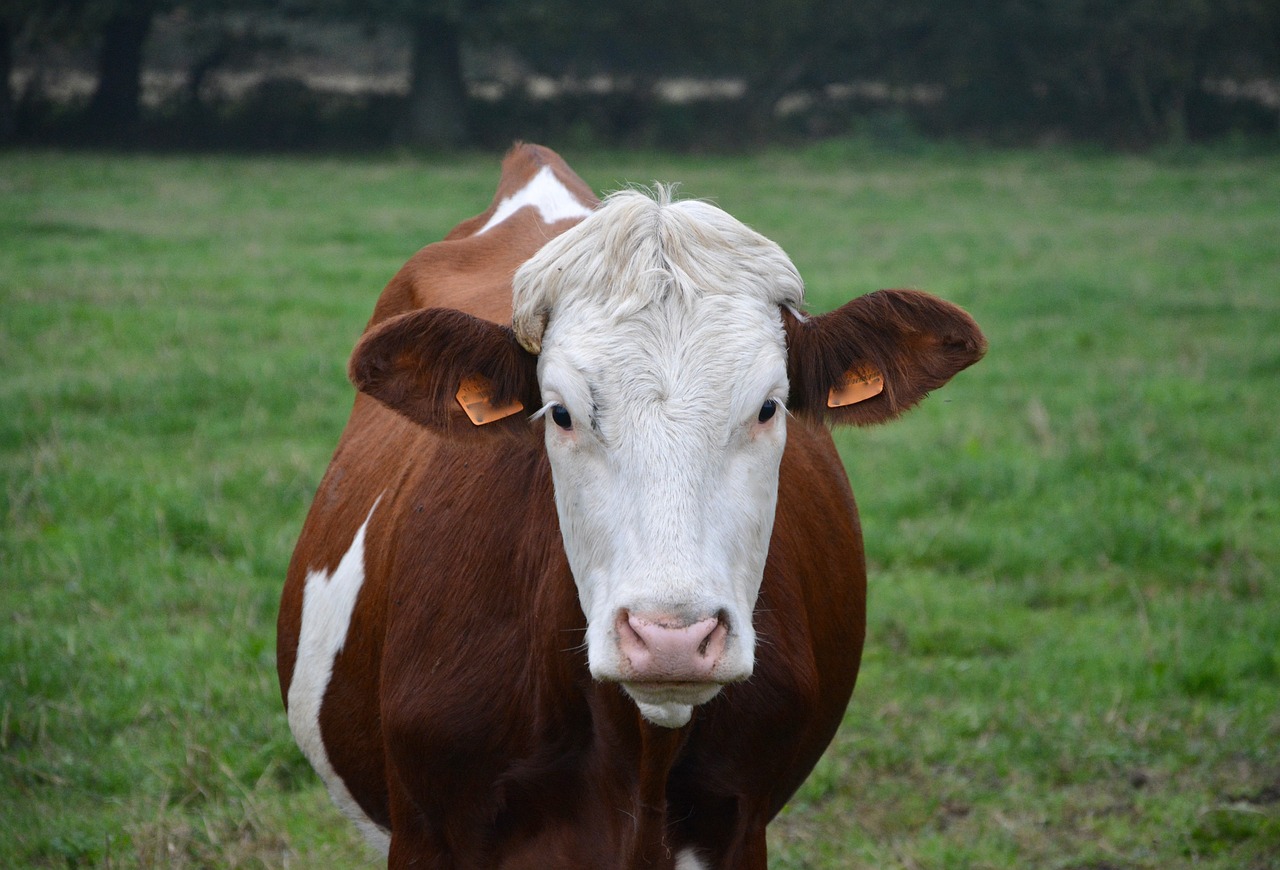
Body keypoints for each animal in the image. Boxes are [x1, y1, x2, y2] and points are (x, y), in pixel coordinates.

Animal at [275, 139, 983, 864]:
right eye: (559, 412)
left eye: (769, 407)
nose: (673, 640)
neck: (640, 754)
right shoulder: (426, 829)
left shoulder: (742, 827)